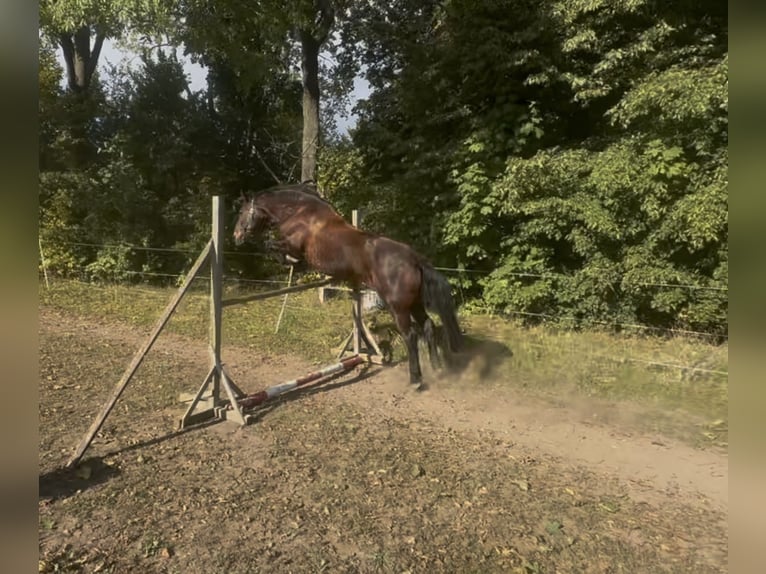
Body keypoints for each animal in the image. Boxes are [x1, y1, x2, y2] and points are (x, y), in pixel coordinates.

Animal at [233, 183, 464, 388]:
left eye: (242, 212)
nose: (236, 236)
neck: (300, 215)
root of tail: (414, 259)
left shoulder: (292, 246)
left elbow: (271, 246)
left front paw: (290, 262)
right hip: (415, 304)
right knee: (428, 326)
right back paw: (437, 368)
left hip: (398, 307)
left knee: (411, 335)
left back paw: (416, 380)